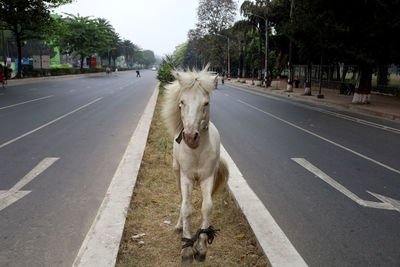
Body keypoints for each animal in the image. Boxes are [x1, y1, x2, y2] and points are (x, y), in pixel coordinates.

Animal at [160, 66, 228, 264]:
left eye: (206, 103)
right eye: (182, 102)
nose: (190, 137)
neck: (197, 152)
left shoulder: (207, 178)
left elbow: (207, 208)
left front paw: (201, 248)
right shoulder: (187, 178)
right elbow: (187, 209)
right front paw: (187, 249)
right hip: (177, 173)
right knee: (182, 199)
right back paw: (178, 226)